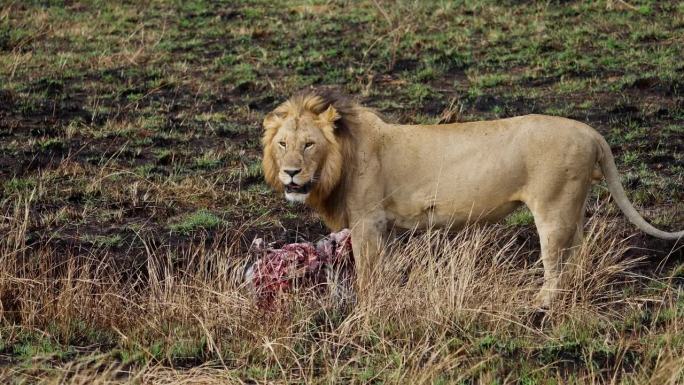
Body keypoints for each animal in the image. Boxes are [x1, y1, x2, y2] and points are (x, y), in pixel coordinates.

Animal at [260, 88, 680, 306]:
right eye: (283, 144)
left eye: (309, 144)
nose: (291, 173)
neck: (339, 159)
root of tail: (591, 132)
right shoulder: (385, 226)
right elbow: (386, 269)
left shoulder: (368, 221)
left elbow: (367, 271)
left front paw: (367, 306)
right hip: (572, 207)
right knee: (575, 254)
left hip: (554, 209)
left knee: (556, 262)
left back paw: (540, 305)